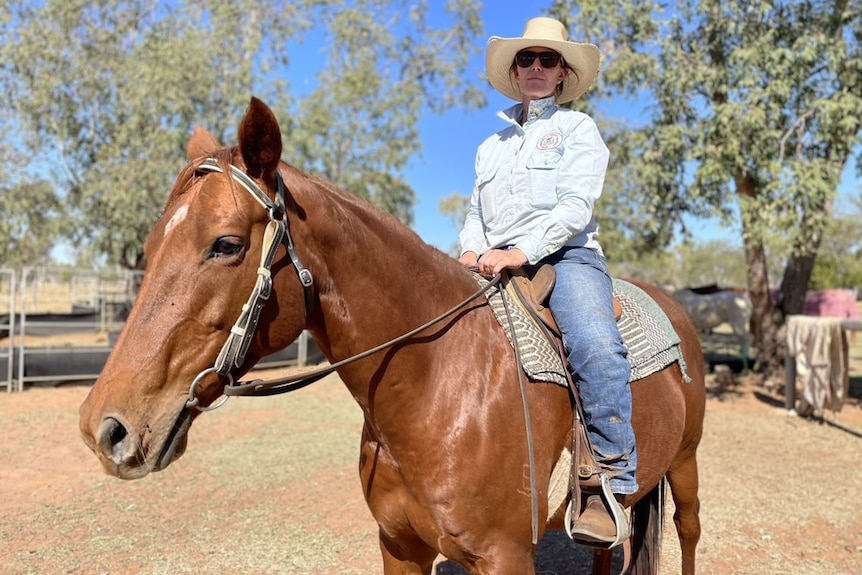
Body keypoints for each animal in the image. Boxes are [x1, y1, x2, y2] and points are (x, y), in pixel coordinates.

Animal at [77, 99, 704, 575]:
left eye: (226, 244)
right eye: (152, 243)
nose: (104, 428)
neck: (439, 390)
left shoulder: (505, 557)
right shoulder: (399, 545)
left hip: (685, 461)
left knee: (688, 529)